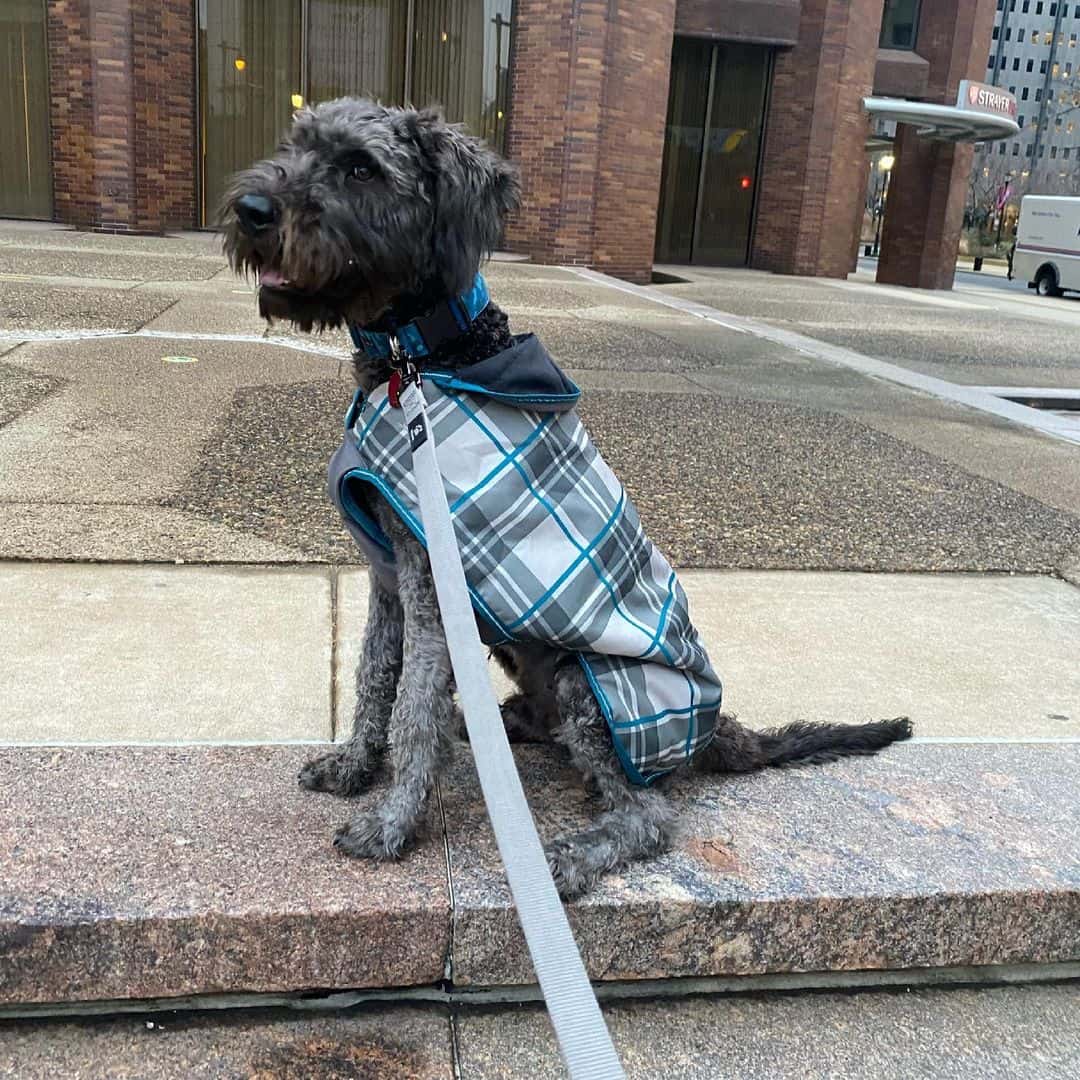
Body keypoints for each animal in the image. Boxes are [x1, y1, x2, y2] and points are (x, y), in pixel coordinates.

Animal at [219, 99, 911, 894]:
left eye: (361, 168)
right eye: (294, 144)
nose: (251, 210)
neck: (420, 361)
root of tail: (720, 730)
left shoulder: (433, 592)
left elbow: (415, 713)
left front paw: (393, 825)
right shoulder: (391, 579)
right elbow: (373, 680)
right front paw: (355, 768)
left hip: (592, 683)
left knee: (649, 812)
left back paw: (578, 850)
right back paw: (509, 723)